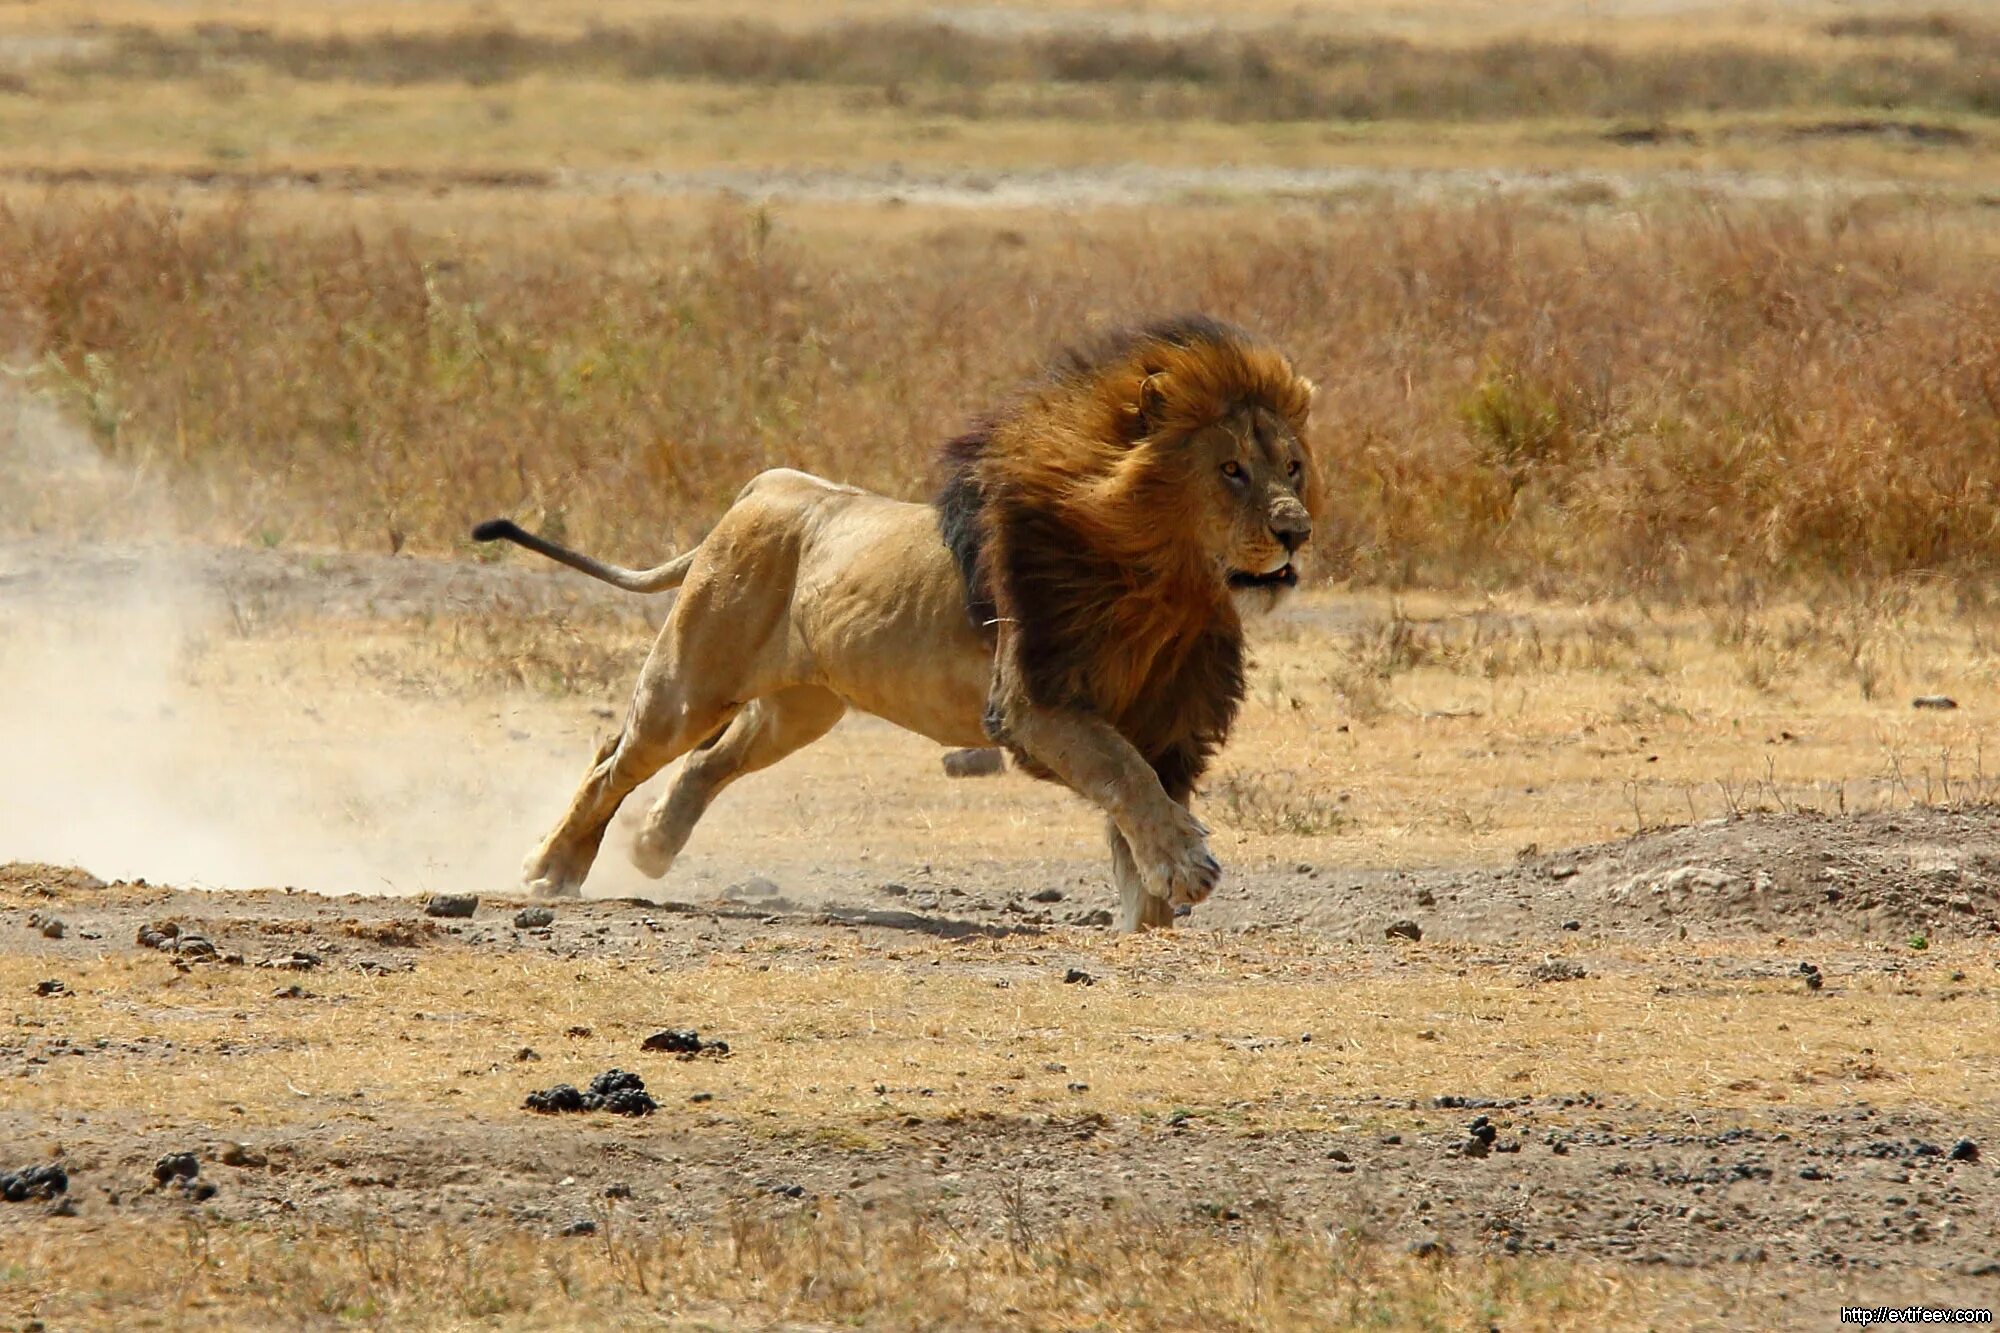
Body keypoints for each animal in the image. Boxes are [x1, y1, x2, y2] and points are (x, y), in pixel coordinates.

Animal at [474, 316, 1320, 928]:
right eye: (1231, 469)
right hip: (689, 683)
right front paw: (1186, 866)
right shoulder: (1033, 702)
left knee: (709, 763)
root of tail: (765, 486)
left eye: (1293, 467)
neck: (1167, 593)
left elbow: (1134, 815)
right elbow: (1124, 775)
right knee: (612, 758)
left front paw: (1147, 913)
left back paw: (651, 845)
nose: (1297, 531)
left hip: (799, 708)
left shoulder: (1167, 715)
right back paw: (552, 869)